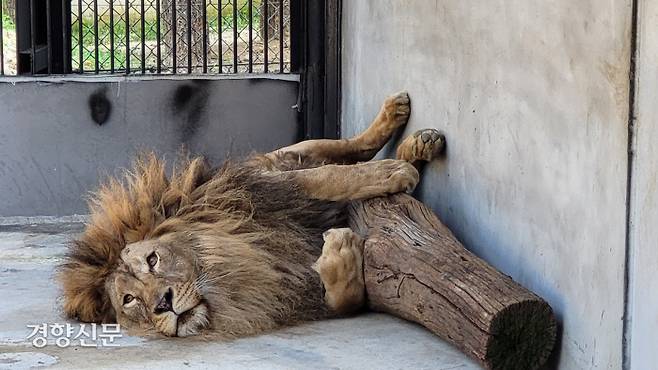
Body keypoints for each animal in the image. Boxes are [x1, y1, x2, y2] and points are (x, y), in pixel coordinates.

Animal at [59, 91, 444, 336]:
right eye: (129, 300)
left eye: (153, 260)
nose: (163, 306)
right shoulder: (295, 296)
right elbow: (345, 299)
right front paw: (341, 252)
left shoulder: (269, 187)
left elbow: (329, 176)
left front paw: (390, 173)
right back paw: (416, 148)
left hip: (280, 157)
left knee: (344, 147)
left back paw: (405, 131)